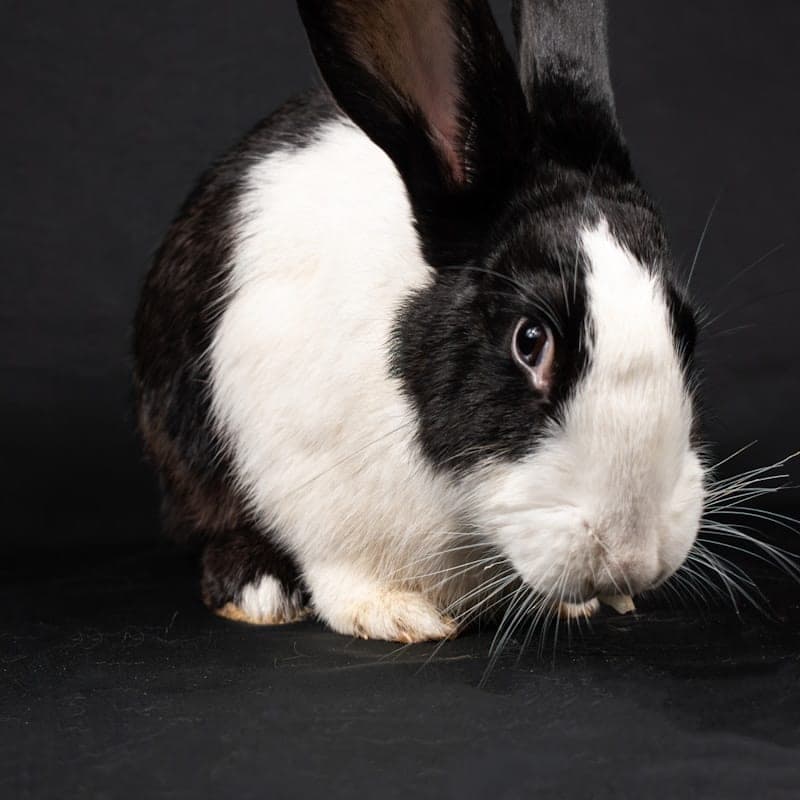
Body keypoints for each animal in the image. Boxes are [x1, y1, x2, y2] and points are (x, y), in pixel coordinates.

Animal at [133, 0, 705, 643]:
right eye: (530, 340)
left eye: (686, 332)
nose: (632, 554)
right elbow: (341, 569)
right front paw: (395, 614)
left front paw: (582, 605)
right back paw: (259, 591)